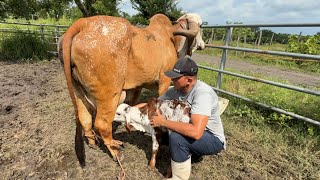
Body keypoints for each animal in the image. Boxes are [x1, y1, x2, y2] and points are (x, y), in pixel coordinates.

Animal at [59, 13, 205, 167]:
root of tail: (83, 23)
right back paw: (117, 153)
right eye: (201, 26)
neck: (172, 37)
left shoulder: (137, 87)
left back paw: (93, 143)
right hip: (110, 94)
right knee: (102, 124)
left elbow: (132, 104)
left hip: (78, 91)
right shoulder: (164, 80)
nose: (202, 44)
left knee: (84, 118)